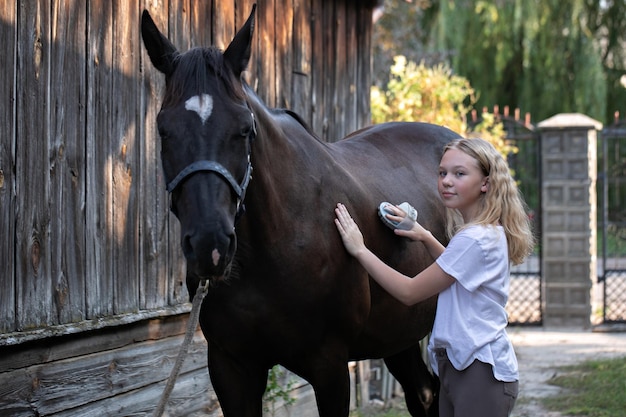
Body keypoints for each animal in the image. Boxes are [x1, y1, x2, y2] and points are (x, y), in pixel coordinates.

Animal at [143, 4, 458, 416]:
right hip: (399, 332)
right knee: (423, 392)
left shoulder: (330, 368)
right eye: (163, 129)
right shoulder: (231, 367)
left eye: (244, 128)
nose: (210, 246)